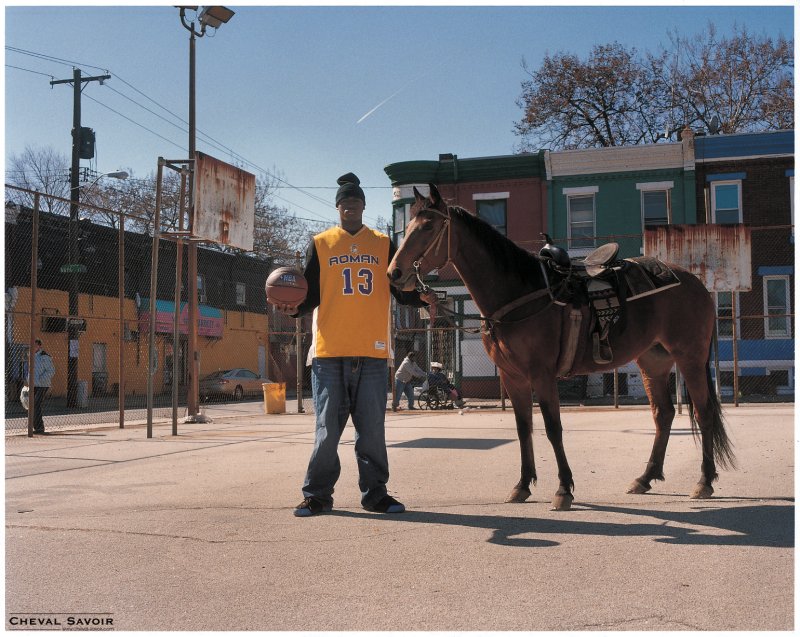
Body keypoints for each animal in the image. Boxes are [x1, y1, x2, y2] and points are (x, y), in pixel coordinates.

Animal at [384, 183, 736, 506]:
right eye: (408, 226)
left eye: (428, 227)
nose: (394, 273)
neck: (520, 293)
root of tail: (694, 283)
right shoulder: (513, 377)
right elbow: (523, 427)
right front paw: (523, 484)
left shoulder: (541, 374)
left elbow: (553, 428)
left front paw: (564, 488)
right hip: (654, 360)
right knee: (663, 414)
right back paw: (645, 477)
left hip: (690, 357)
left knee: (703, 412)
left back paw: (704, 481)